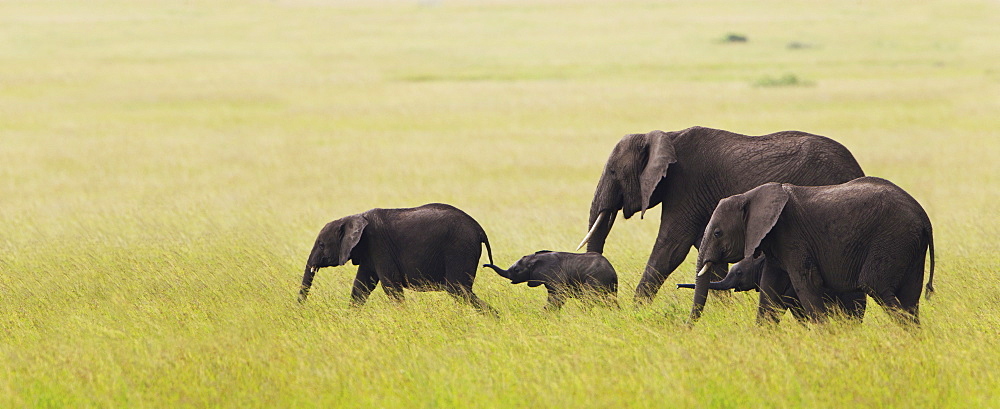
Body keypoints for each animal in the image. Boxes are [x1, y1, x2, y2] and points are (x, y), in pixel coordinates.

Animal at [484, 249, 616, 310]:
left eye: (517, 270)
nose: (484, 265)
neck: (534, 258)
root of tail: (612, 271)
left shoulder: (555, 276)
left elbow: (558, 296)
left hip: (595, 280)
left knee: (590, 299)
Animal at [580, 126, 868, 304]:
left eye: (613, 172)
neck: (665, 136)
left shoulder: (686, 186)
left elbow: (671, 249)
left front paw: (635, 311)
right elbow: (708, 256)